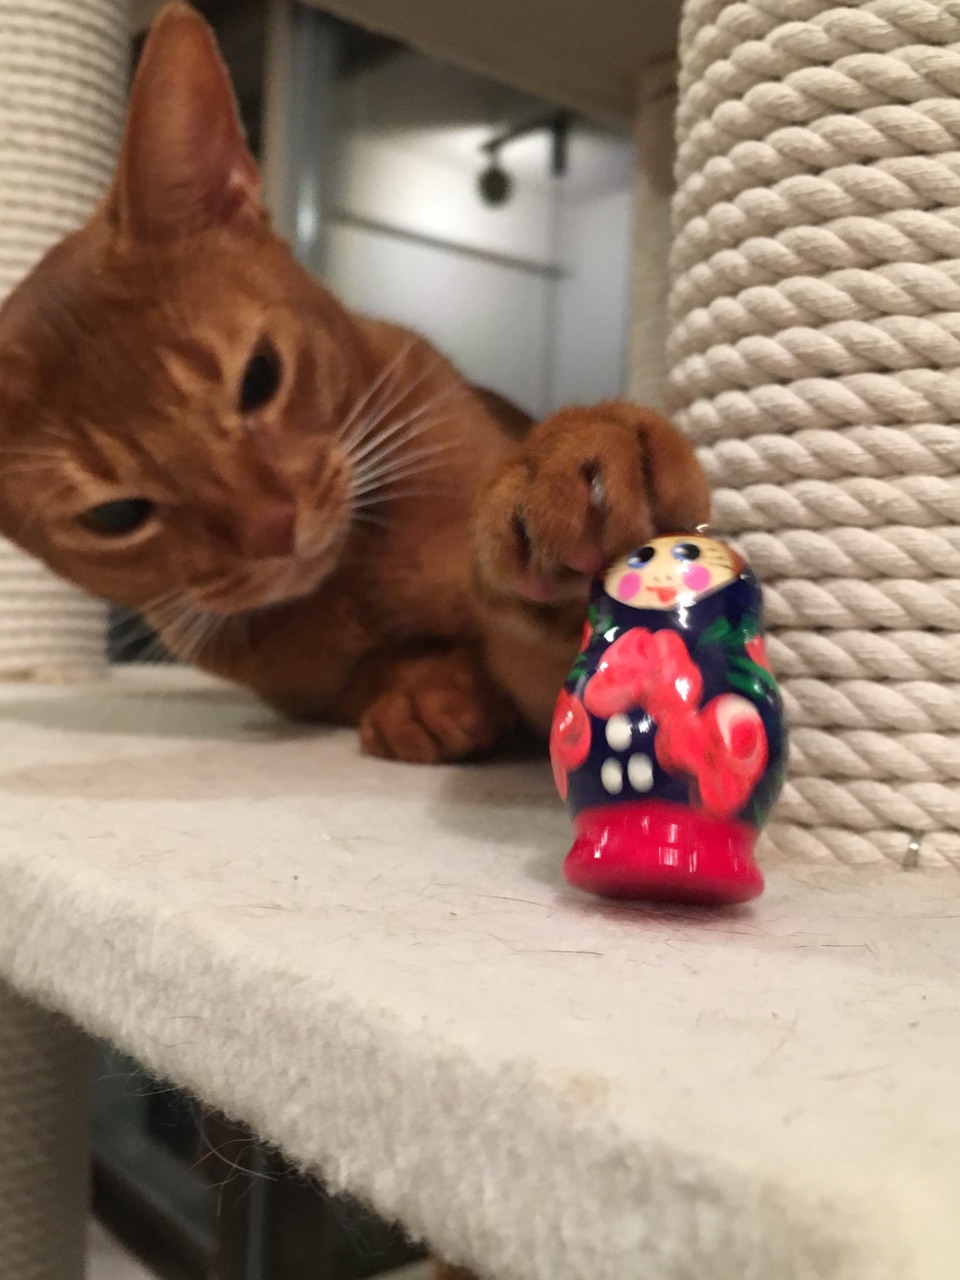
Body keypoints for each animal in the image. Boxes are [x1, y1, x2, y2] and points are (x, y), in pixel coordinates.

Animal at [0, 1, 708, 765]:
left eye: (260, 376)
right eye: (114, 516)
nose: (273, 528)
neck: (352, 579)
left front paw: (576, 480)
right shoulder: (304, 688)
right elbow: (380, 675)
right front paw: (424, 694)